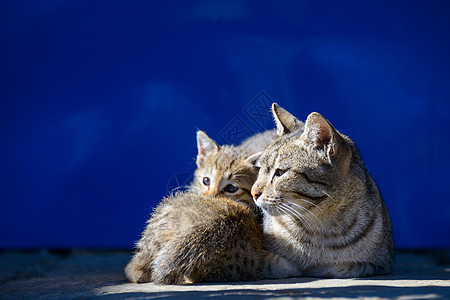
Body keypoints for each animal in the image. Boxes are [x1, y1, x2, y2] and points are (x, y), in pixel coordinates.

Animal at [253, 103, 394, 278]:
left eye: (280, 172)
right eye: (259, 169)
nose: (253, 192)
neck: (321, 227)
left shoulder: (379, 264)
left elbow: (343, 267)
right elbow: (277, 263)